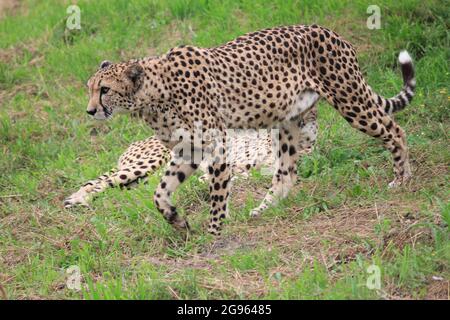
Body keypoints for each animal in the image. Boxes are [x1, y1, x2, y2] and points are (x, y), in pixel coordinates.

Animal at [81, 23, 414, 235]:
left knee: (395, 130)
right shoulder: (188, 149)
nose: (90, 110)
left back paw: (402, 178)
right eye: (90, 88)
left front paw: (215, 234)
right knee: (287, 172)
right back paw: (263, 210)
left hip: (350, 100)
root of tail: (329, 31)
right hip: (289, 122)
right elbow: (160, 193)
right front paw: (177, 221)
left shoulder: (216, 144)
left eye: (105, 90)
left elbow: (217, 193)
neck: (153, 96)